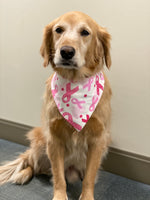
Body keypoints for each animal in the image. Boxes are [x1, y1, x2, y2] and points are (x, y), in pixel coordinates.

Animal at [0, 11, 111, 200]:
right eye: (58, 30)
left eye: (85, 32)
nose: (66, 52)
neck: (75, 83)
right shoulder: (54, 139)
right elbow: (58, 176)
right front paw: (60, 195)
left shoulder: (98, 140)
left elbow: (89, 177)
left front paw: (86, 196)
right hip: (40, 143)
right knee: (34, 165)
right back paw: (23, 174)